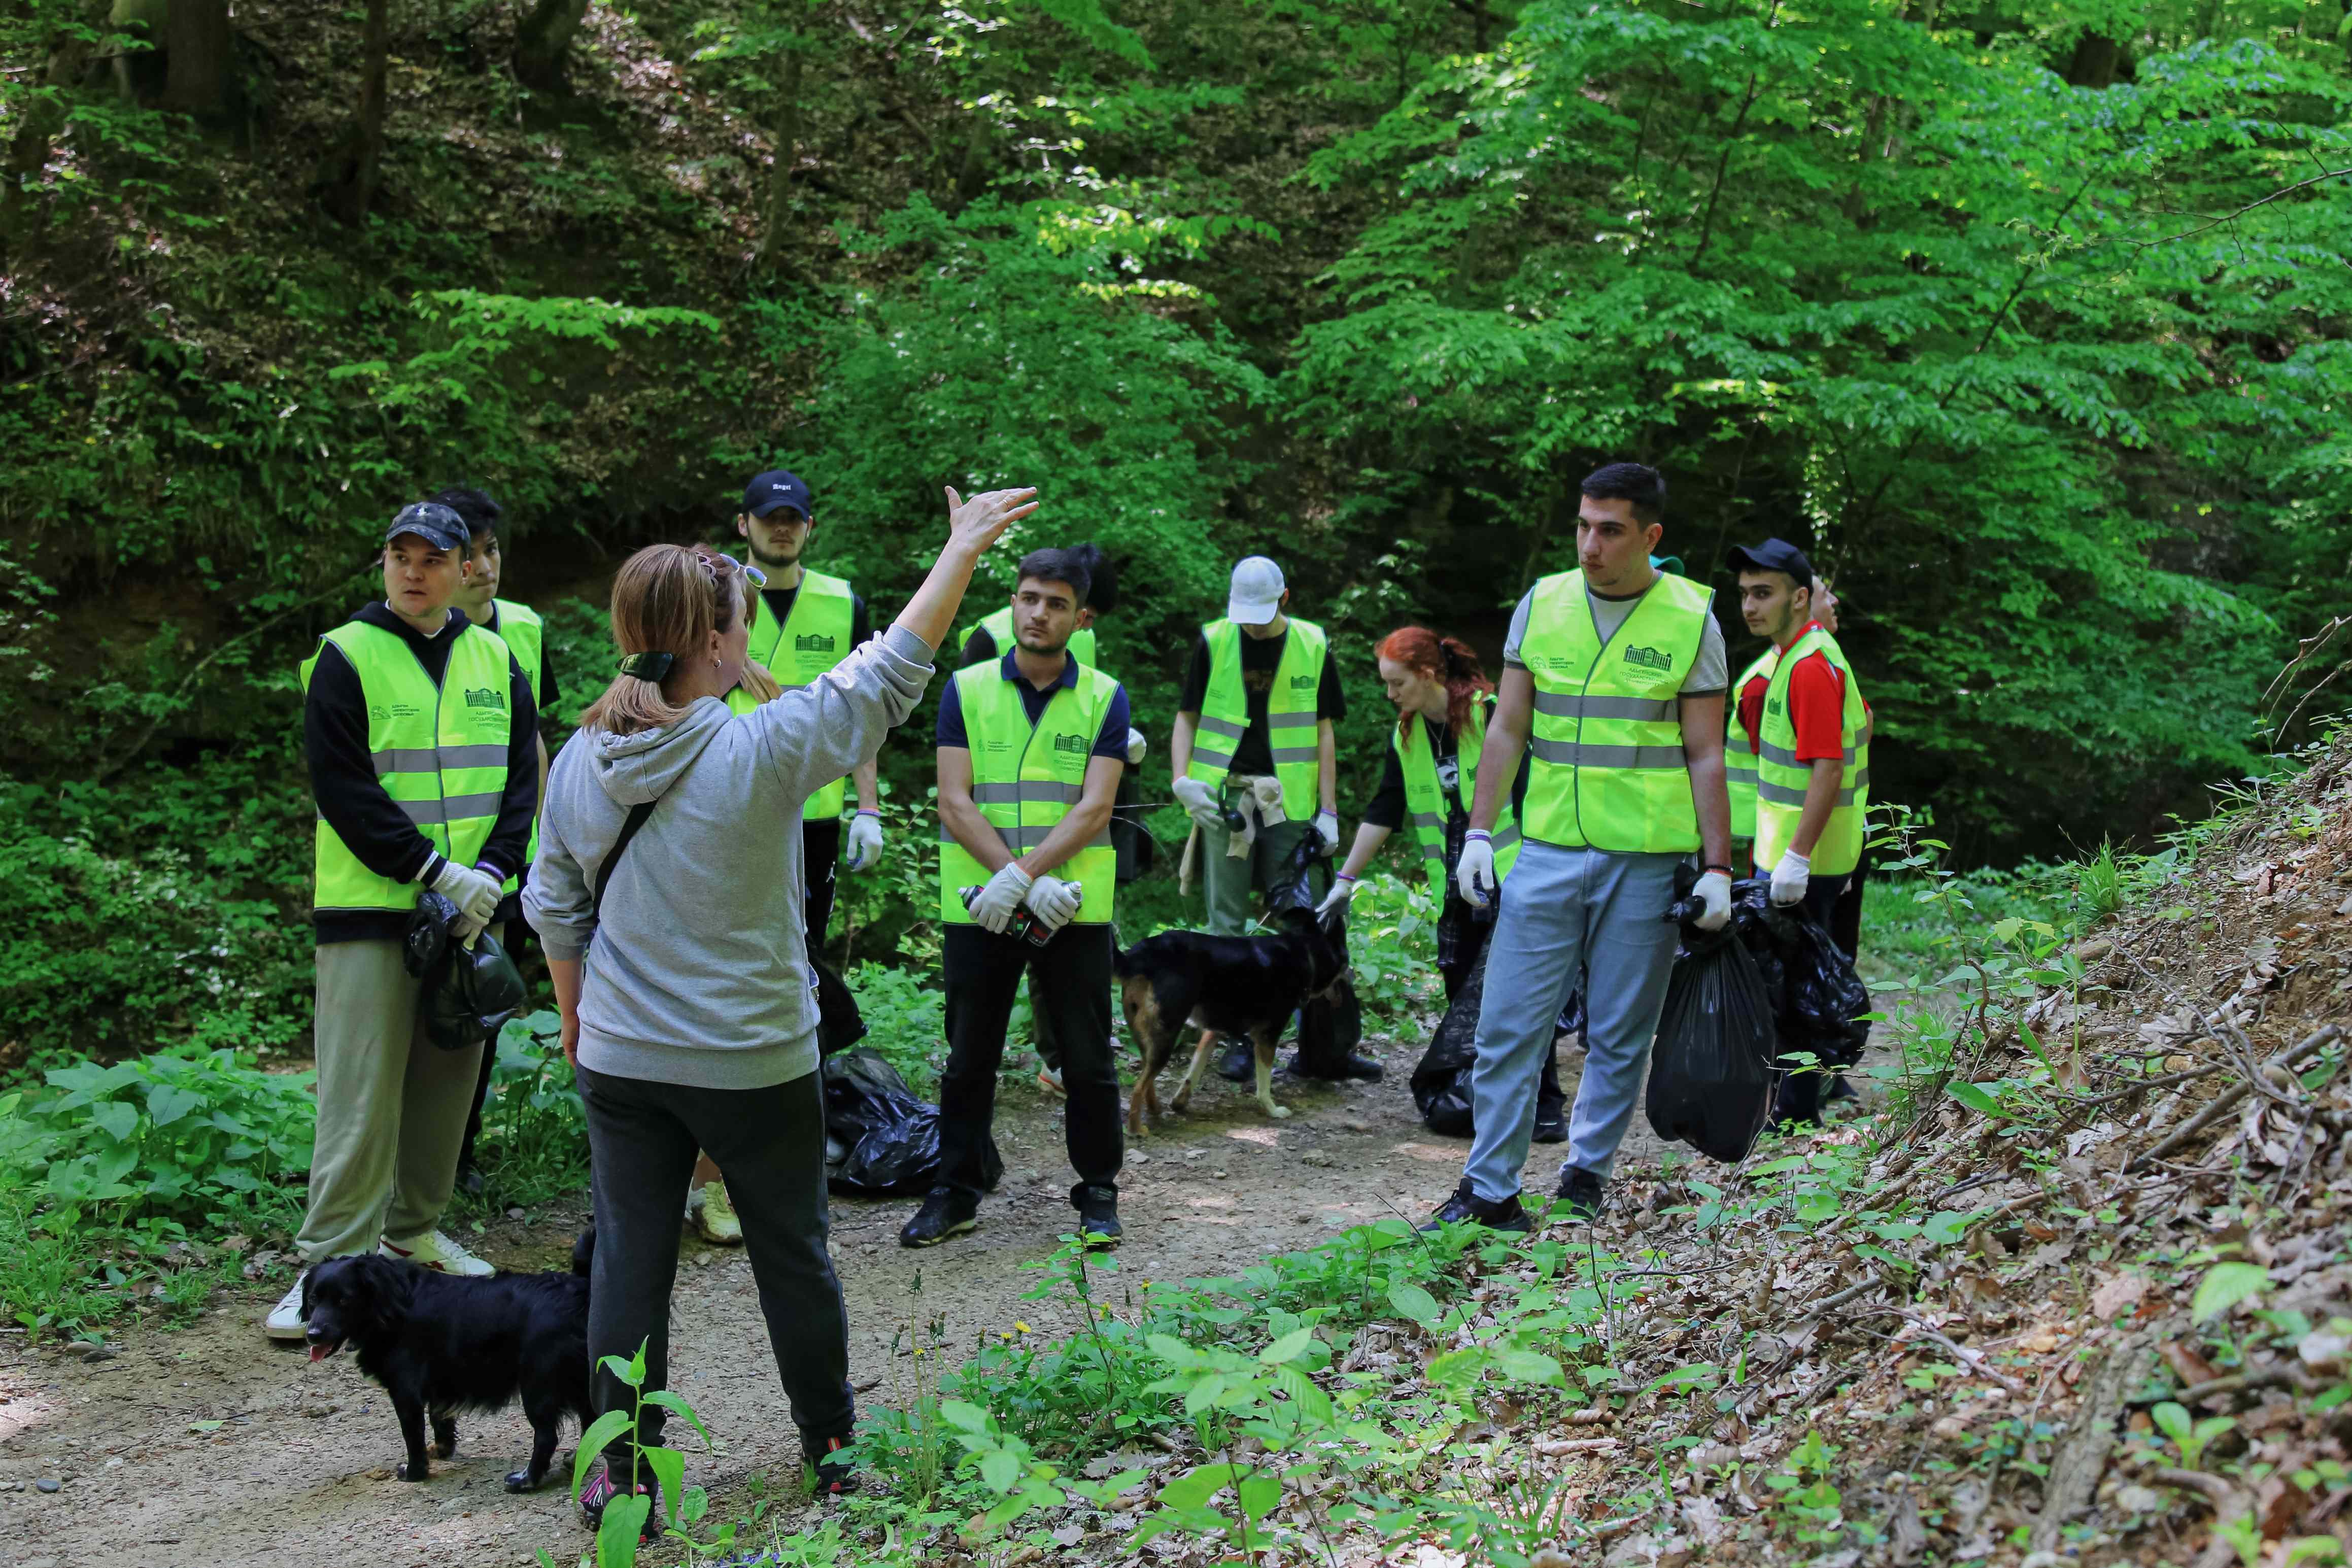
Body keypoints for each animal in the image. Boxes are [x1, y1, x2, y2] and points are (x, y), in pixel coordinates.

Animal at [301, 1232, 597, 1495]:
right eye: (313, 1299)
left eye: (344, 1300)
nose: (312, 1334)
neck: (389, 1303)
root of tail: (579, 1290)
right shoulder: (439, 1382)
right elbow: (439, 1419)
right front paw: (443, 1450)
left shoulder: (406, 1392)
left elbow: (413, 1436)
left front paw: (415, 1472)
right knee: (592, 1419)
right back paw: (578, 1459)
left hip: (538, 1385)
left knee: (547, 1437)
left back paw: (526, 1481)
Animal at [1114, 907, 1354, 1142]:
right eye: (1347, 964)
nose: (1351, 977)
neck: (1306, 955)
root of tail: (1139, 955)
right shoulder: (1267, 1037)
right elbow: (1264, 1084)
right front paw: (1272, 1110)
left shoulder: (1212, 1031)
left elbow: (1194, 1072)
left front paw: (1180, 1102)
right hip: (1167, 1035)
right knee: (1139, 1087)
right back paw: (1135, 1129)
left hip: (1148, 1036)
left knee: (1147, 1079)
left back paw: (1155, 1109)